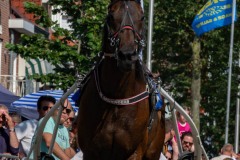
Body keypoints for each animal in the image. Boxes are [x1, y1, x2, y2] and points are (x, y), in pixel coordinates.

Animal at [77, 0, 165, 159]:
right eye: (111, 16)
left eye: (142, 17)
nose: (127, 56)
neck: (117, 96)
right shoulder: (91, 151)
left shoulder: (133, 151)